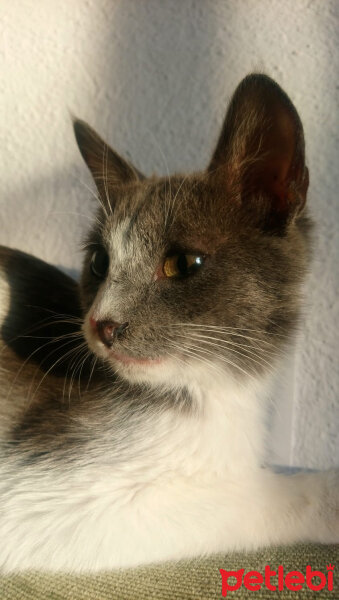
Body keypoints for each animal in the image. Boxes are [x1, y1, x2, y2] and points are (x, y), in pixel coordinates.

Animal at [0, 75, 338, 572]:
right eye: (100, 262)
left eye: (182, 263)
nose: (102, 324)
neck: (210, 388)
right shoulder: (37, 489)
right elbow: (243, 499)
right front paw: (329, 495)